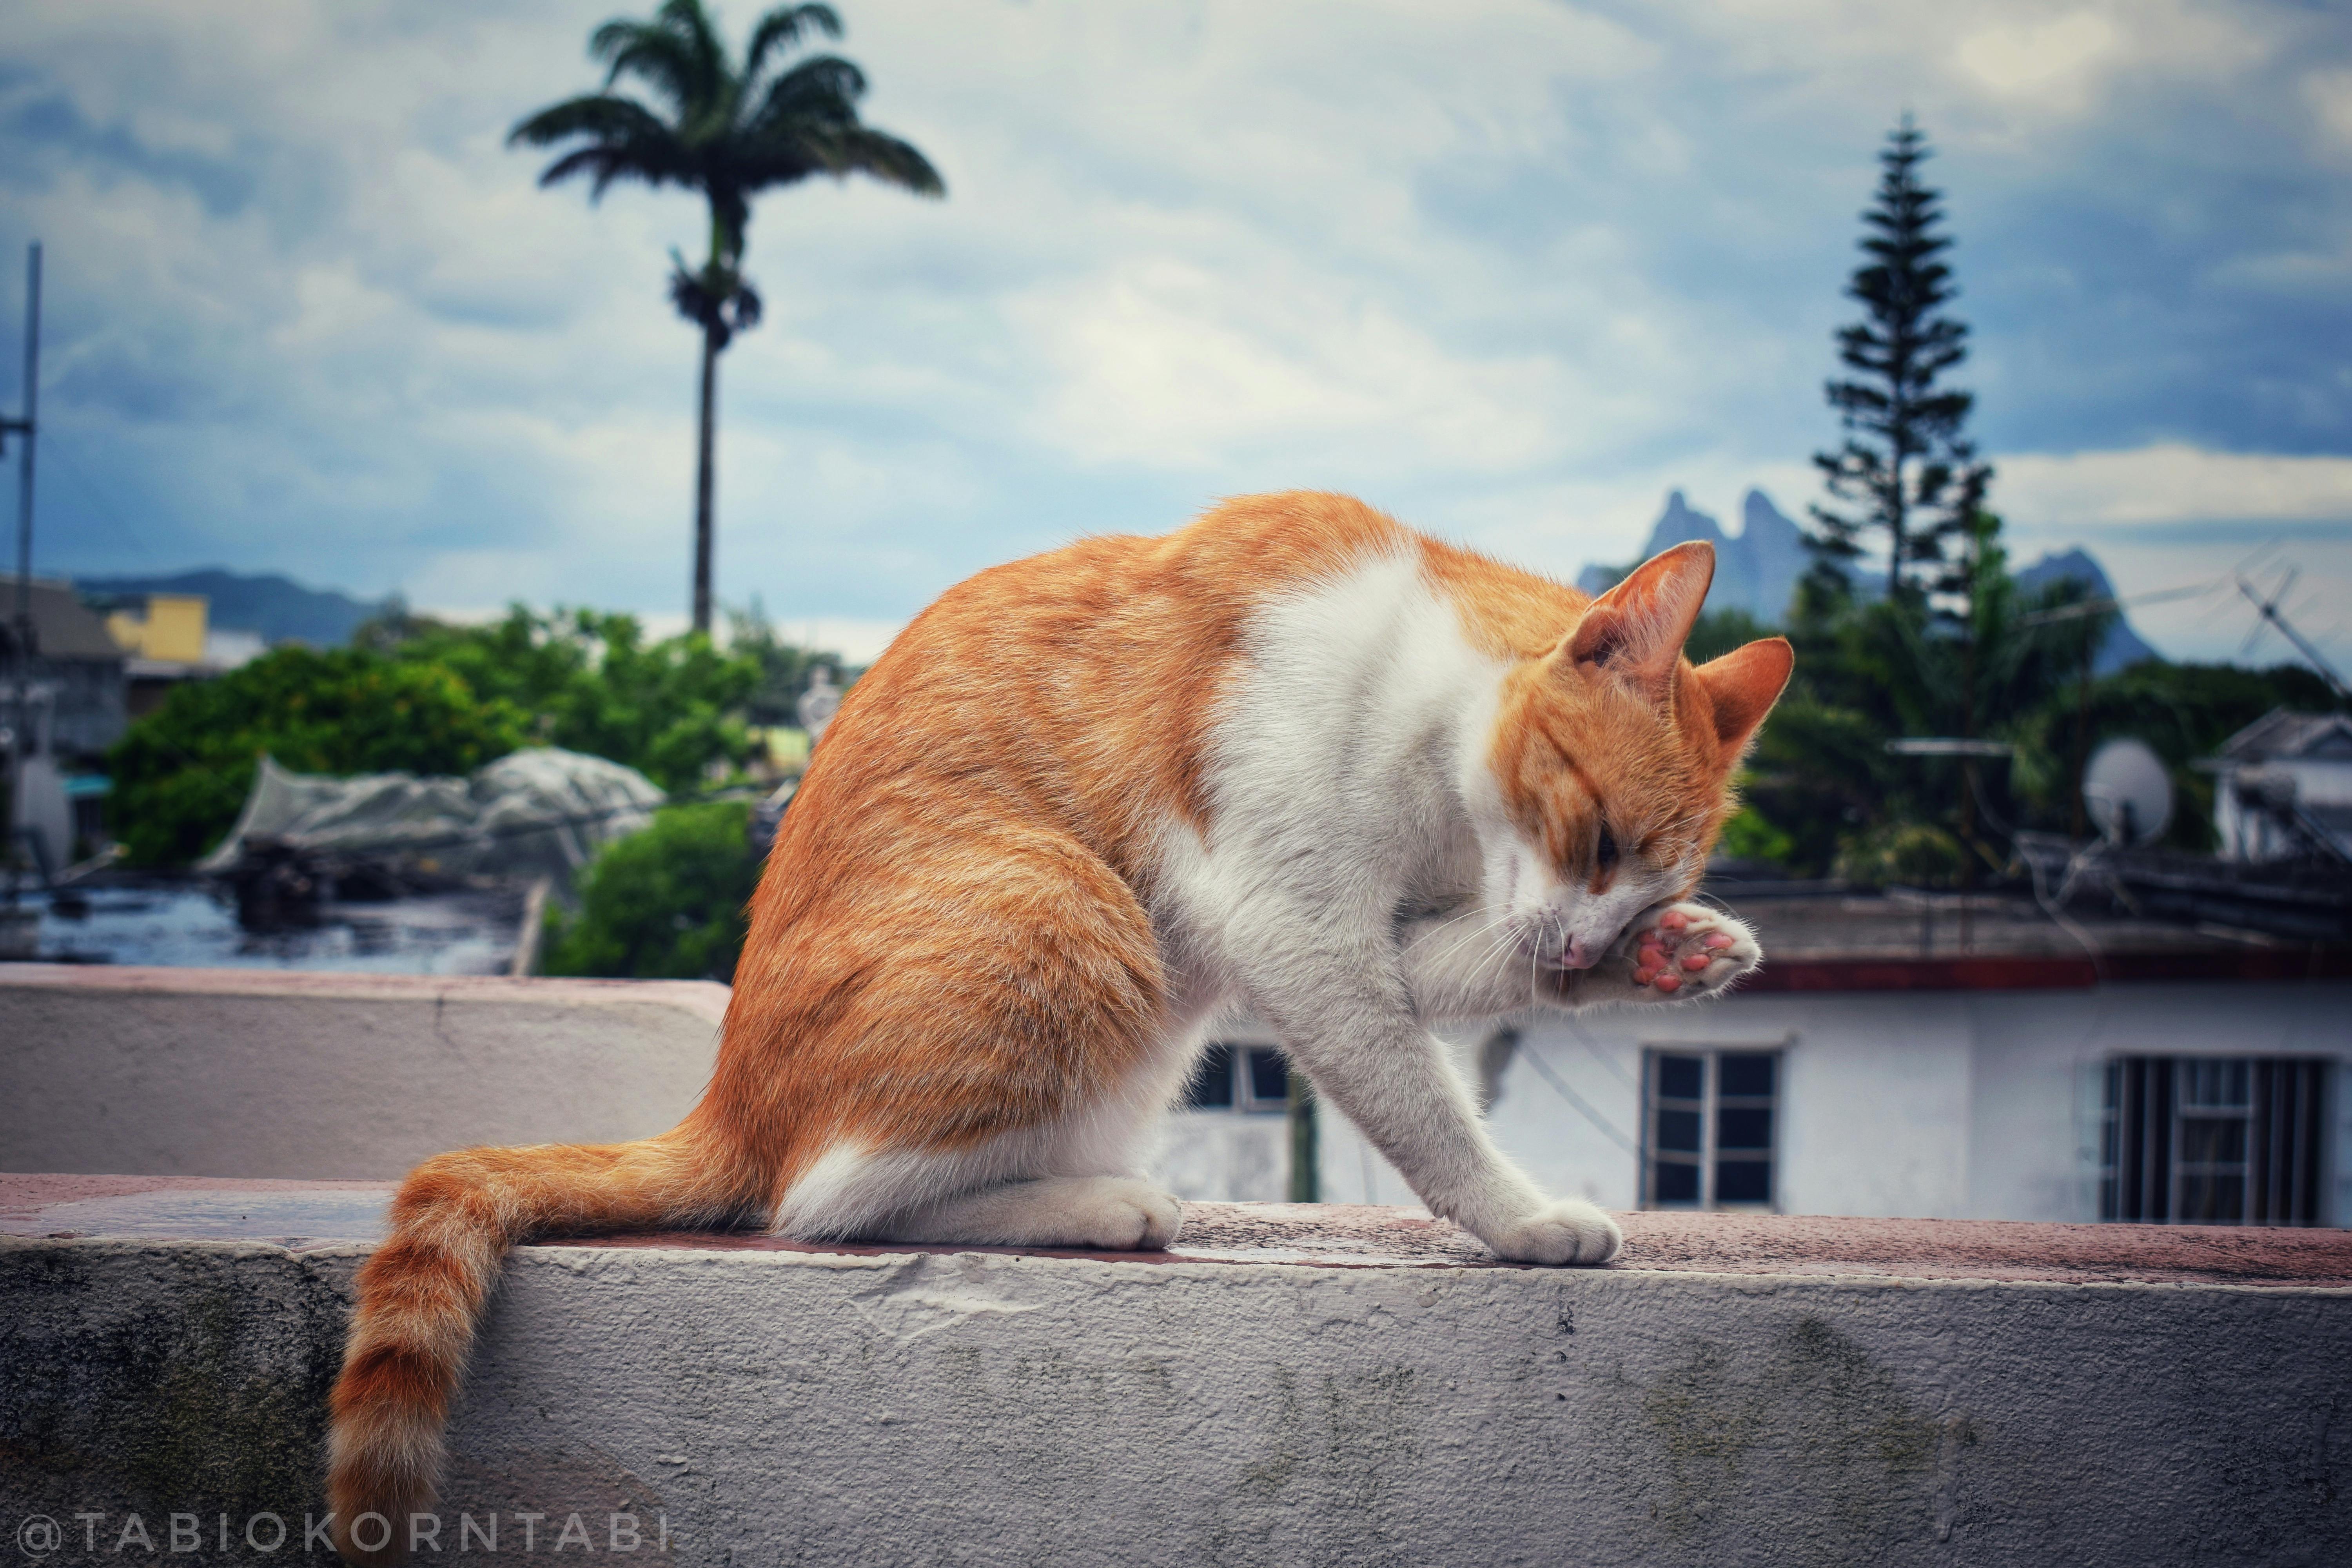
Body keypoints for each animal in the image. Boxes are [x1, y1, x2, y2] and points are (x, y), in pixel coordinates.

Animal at [332, 494, 1788, 1561]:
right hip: (1073, 916)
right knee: (825, 1199)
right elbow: (1426, 1104)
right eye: (1595, 838)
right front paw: (1526, 1217)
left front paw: (1674, 957)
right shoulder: (1290, 924)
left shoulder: (1340, 942)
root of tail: (729, 1100)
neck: (1432, 755)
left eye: (1641, 881)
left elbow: (1463, 970)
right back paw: (1092, 1206)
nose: (1597, 941)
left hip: (1151, 987)